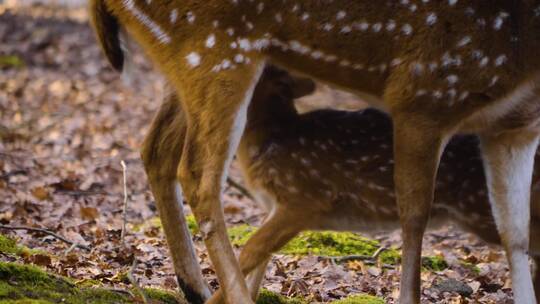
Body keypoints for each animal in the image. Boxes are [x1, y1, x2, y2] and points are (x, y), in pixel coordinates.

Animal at [90, 1, 540, 302]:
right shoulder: (425, 94)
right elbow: (415, 219)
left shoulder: (513, 127)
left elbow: (514, 231)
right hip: (213, 50)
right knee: (199, 175)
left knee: (157, 148)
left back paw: (195, 287)